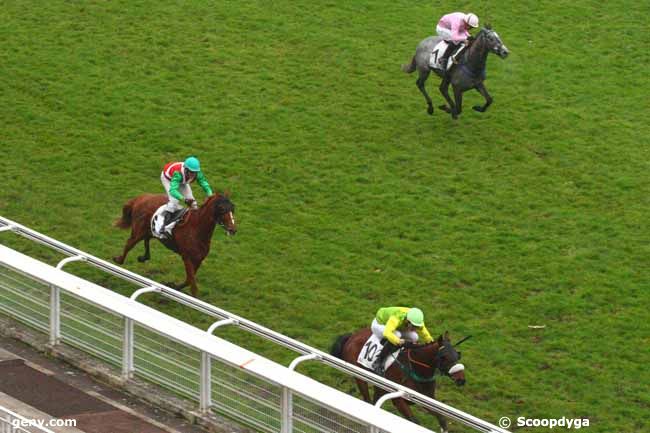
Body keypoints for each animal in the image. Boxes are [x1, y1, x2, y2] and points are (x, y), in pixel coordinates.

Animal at [332, 328, 464, 428]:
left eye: (457, 355)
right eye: (444, 357)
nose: (461, 379)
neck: (415, 368)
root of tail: (352, 336)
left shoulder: (427, 399)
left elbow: (442, 419)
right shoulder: (399, 400)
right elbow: (415, 421)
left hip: (380, 386)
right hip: (361, 377)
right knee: (367, 399)